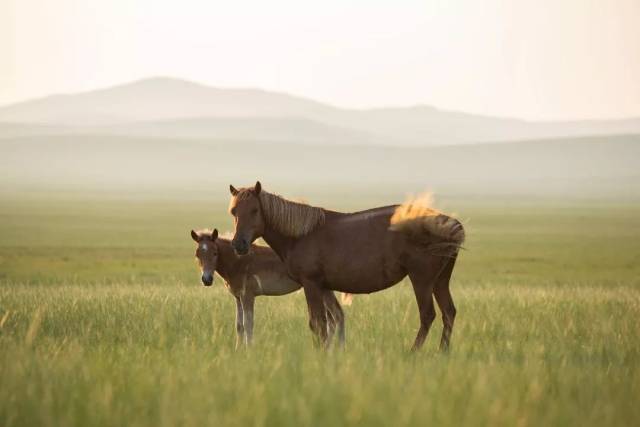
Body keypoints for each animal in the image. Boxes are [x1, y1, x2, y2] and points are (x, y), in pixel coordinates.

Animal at [229, 181, 464, 352]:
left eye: (255, 210)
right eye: (234, 211)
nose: (239, 244)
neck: (300, 235)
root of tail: (450, 224)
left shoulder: (311, 284)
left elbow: (318, 323)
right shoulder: (324, 287)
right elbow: (330, 321)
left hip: (421, 280)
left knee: (428, 315)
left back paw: (413, 353)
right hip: (440, 281)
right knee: (448, 313)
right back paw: (442, 352)